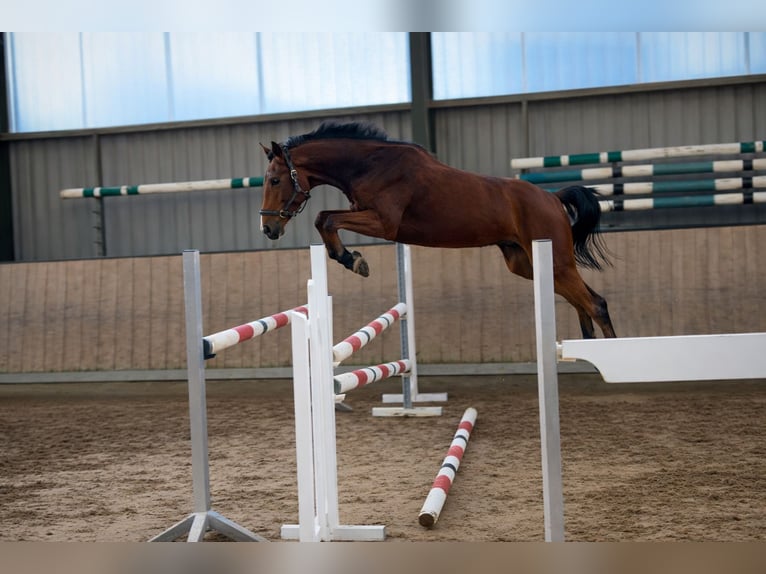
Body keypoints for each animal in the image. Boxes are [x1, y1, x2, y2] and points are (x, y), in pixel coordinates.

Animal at [259, 121, 616, 339]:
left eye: (274, 180)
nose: (268, 227)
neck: (370, 165)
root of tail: (553, 198)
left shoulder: (384, 223)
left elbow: (325, 218)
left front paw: (354, 261)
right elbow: (325, 219)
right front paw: (352, 259)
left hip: (555, 261)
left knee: (595, 304)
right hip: (528, 264)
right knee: (585, 302)